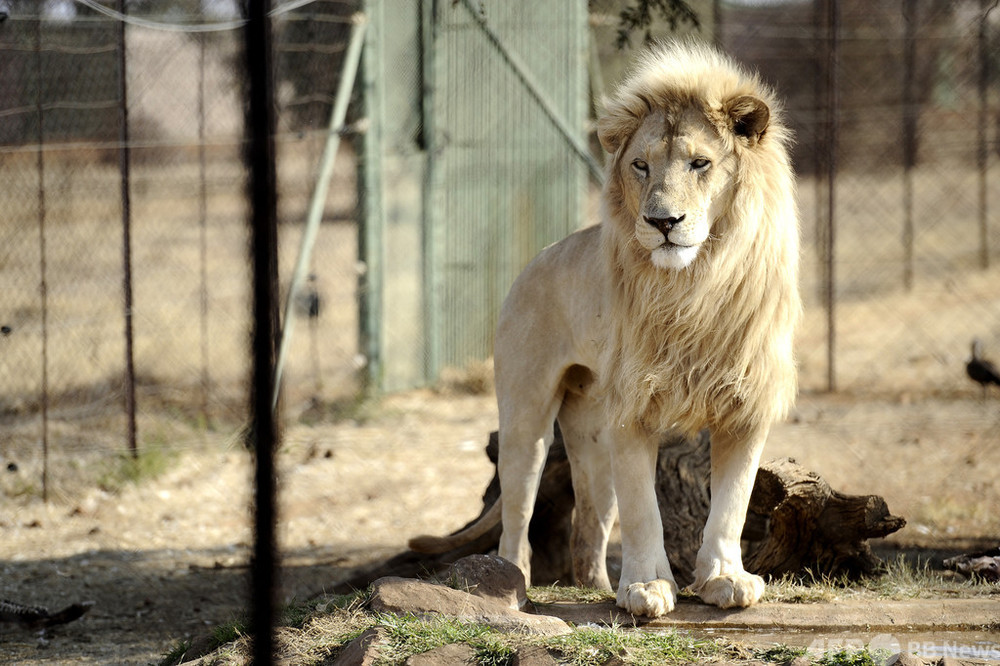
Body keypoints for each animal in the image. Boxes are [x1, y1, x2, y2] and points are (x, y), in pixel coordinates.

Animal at [410, 39, 800, 616]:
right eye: (640, 165)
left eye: (701, 163)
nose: (663, 221)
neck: (694, 286)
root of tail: (538, 258)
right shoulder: (632, 407)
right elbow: (643, 510)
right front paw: (646, 587)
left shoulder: (744, 402)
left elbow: (732, 502)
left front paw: (724, 578)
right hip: (527, 418)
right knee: (518, 514)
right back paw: (510, 581)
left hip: (592, 430)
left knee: (589, 524)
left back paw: (594, 583)